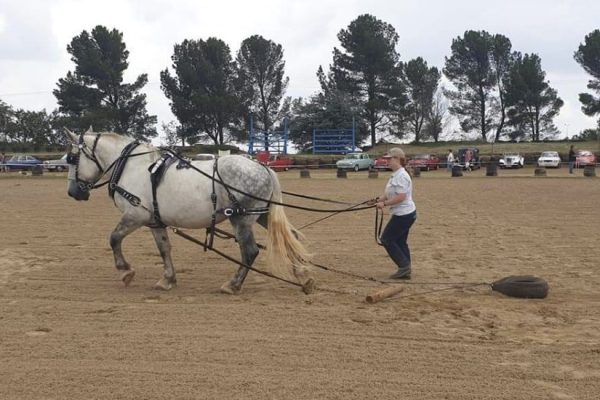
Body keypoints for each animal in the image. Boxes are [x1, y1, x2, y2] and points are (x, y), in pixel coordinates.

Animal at [64, 130, 314, 296]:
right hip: (262, 214)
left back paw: (232, 285)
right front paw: (168, 279)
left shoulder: (136, 215)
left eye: (73, 158)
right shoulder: (155, 221)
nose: (73, 192)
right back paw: (303, 276)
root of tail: (262, 167)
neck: (132, 166)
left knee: (250, 251)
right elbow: (164, 248)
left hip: (241, 218)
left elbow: (114, 238)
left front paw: (125, 271)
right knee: (290, 239)